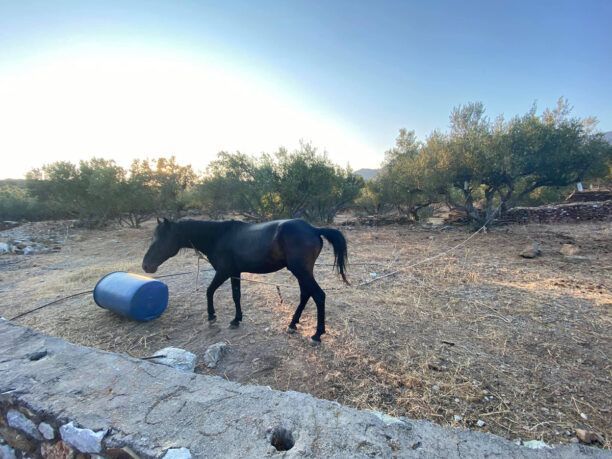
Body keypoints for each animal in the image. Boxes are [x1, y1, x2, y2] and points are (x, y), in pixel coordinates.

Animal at [140, 217, 346, 344]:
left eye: (160, 239)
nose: (146, 265)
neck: (219, 236)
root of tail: (313, 229)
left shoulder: (223, 272)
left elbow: (209, 290)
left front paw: (212, 315)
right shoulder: (234, 273)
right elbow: (236, 296)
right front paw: (236, 319)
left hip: (301, 271)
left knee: (318, 295)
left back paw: (317, 335)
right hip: (301, 272)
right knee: (306, 294)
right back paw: (292, 324)